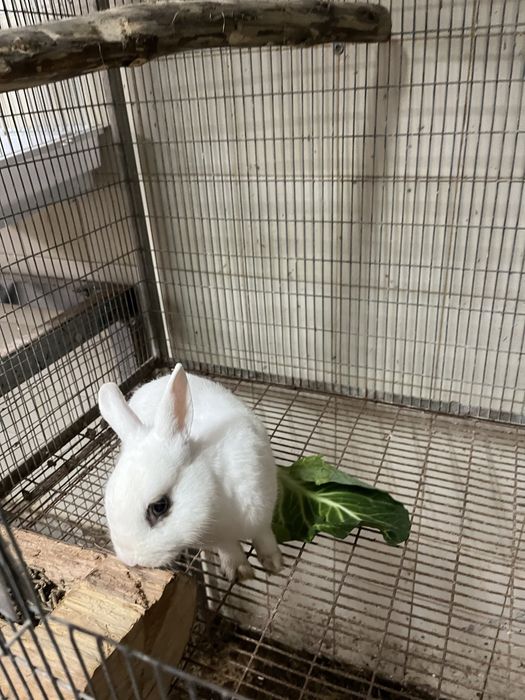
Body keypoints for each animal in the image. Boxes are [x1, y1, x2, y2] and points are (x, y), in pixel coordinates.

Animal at [98, 363, 283, 582]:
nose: (130, 560)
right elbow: (229, 549)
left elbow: (265, 536)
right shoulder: (219, 539)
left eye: (159, 506)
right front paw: (239, 572)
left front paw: (274, 563)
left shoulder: (262, 511)